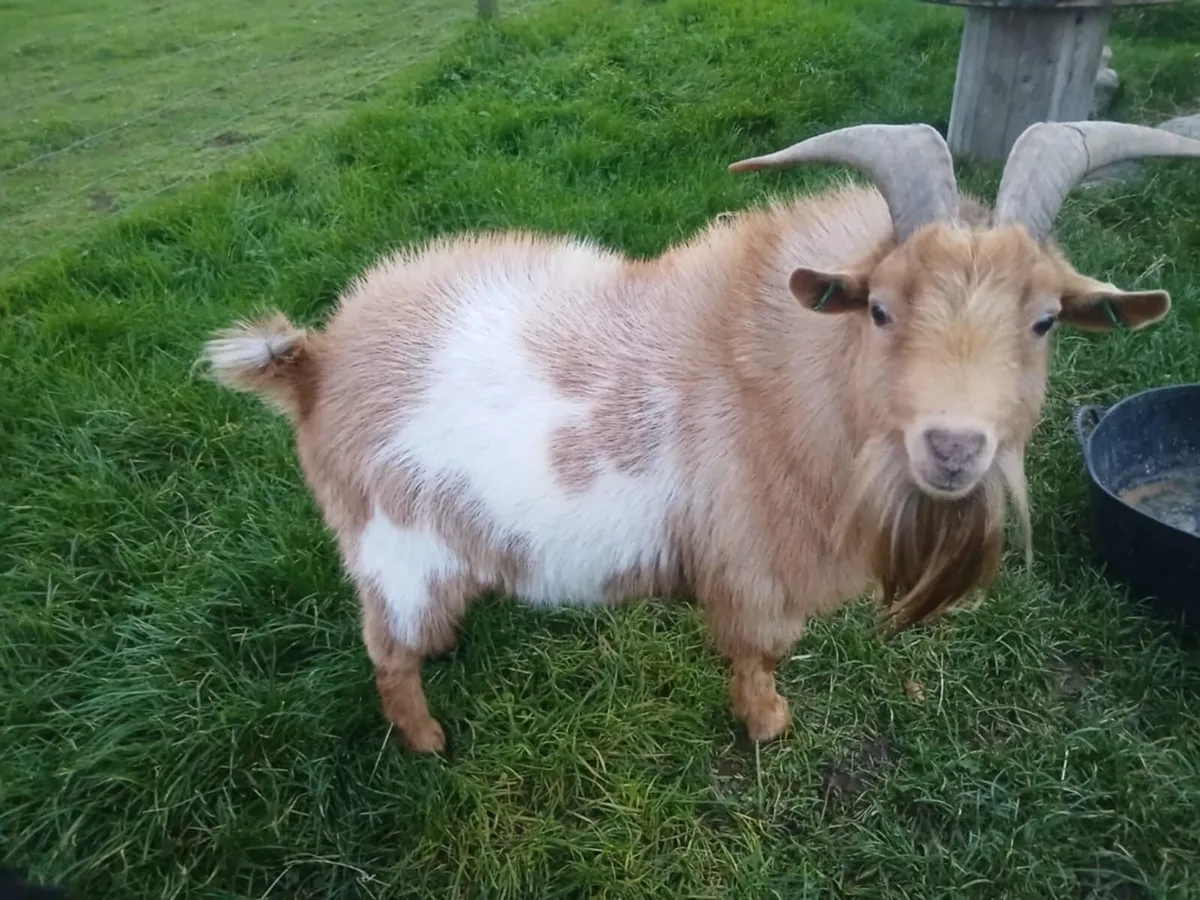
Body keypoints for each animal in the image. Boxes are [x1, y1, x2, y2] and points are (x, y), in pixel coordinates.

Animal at [202, 121, 1200, 753]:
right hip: (393, 546)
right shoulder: (754, 569)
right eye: (879, 308)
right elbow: (756, 656)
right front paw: (768, 727)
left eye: (1045, 321)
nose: (954, 446)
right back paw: (427, 740)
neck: (778, 378)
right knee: (385, 655)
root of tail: (315, 361)